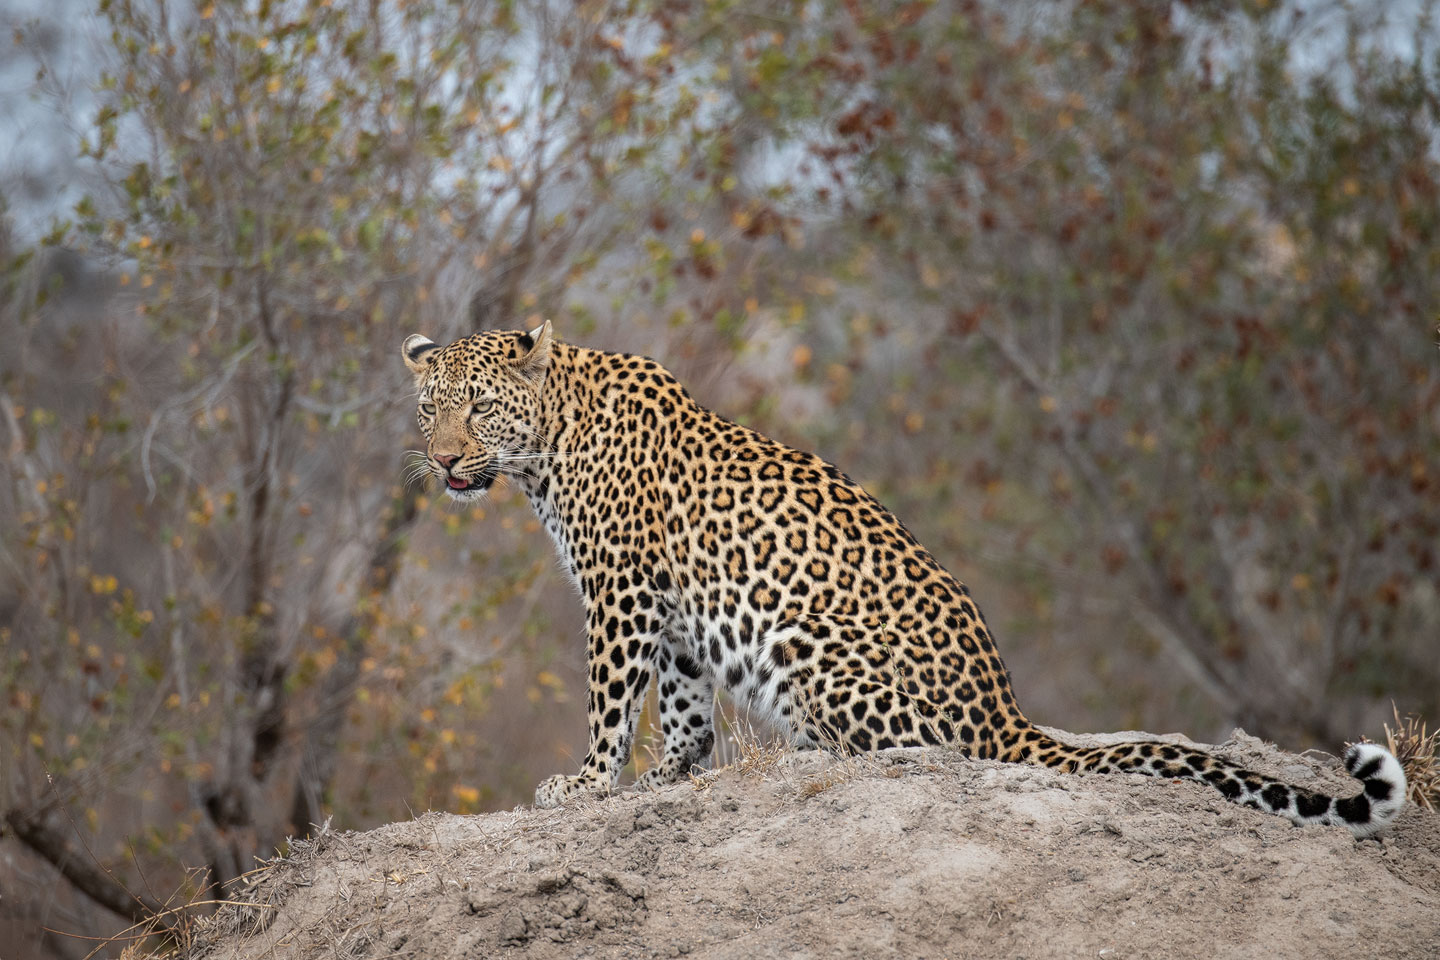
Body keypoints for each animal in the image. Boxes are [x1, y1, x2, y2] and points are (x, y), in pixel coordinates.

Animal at [403, 320, 1405, 834]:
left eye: (479, 408)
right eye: (428, 409)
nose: (445, 460)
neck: (546, 443)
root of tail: (1008, 712)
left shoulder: (618, 591)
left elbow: (611, 704)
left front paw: (584, 784)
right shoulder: (673, 606)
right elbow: (685, 709)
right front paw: (667, 778)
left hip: (809, 651)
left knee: (917, 750)